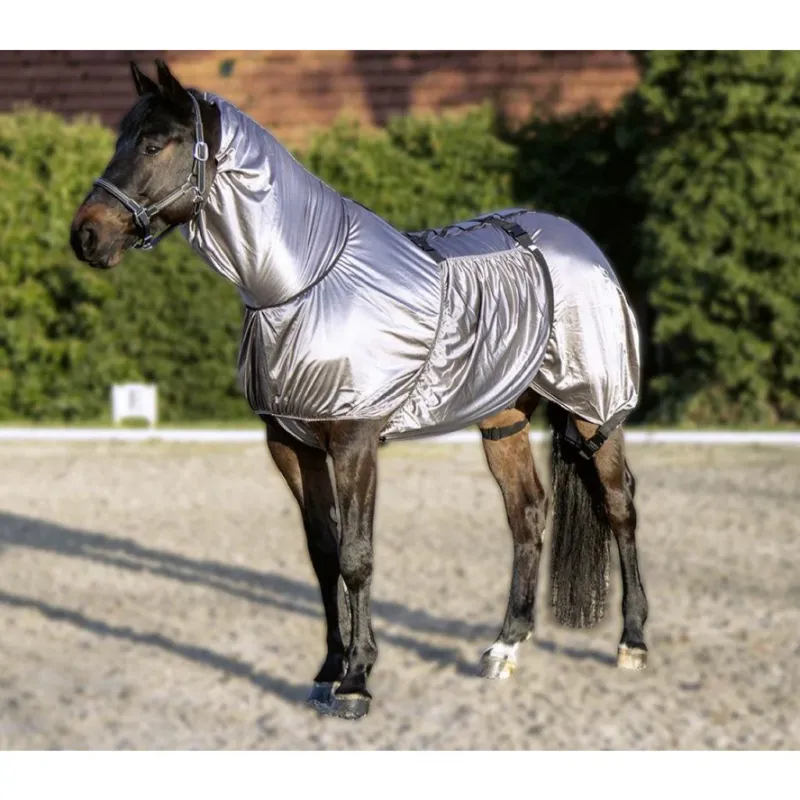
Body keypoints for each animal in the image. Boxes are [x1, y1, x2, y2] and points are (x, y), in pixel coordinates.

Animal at [70, 59, 648, 721]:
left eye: (154, 143)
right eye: (120, 139)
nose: (85, 236)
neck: (305, 281)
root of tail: (574, 240)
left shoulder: (354, 440)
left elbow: (357, 555)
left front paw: (356, 681)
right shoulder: (291, 445)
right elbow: (324, 553)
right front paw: (327, 670)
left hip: (595, 404)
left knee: (619, 505)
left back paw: (632, 642)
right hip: (505, 417)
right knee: (526, 512)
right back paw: (504, 647)